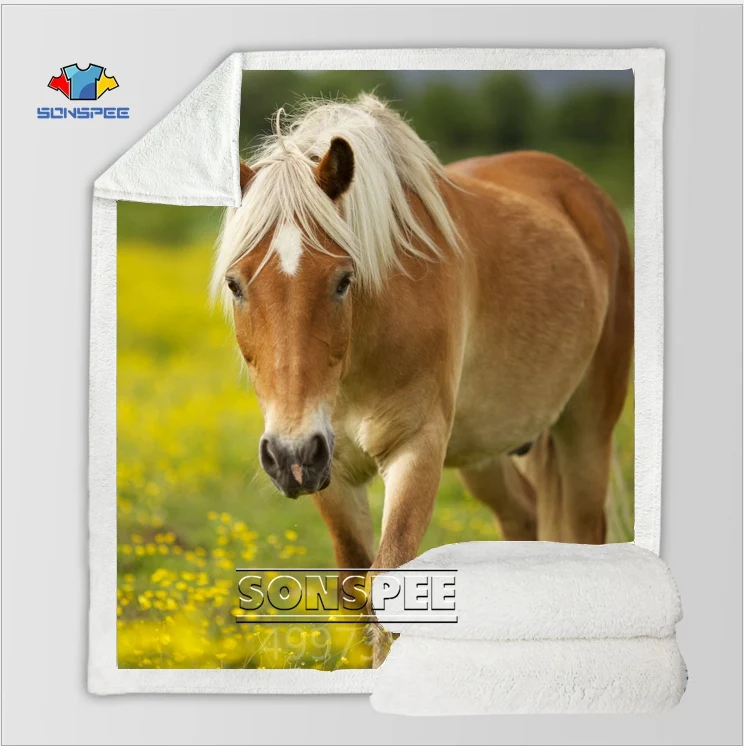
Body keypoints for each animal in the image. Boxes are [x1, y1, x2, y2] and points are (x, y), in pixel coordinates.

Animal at [213, 94, 633, 662]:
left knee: (587, 533)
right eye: (236, 284)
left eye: (343, 280)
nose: (292, 455)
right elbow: (354, 592)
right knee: (522, 518)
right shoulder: (331, 471)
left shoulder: (416, 448)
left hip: (585, 430)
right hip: (486, 450)